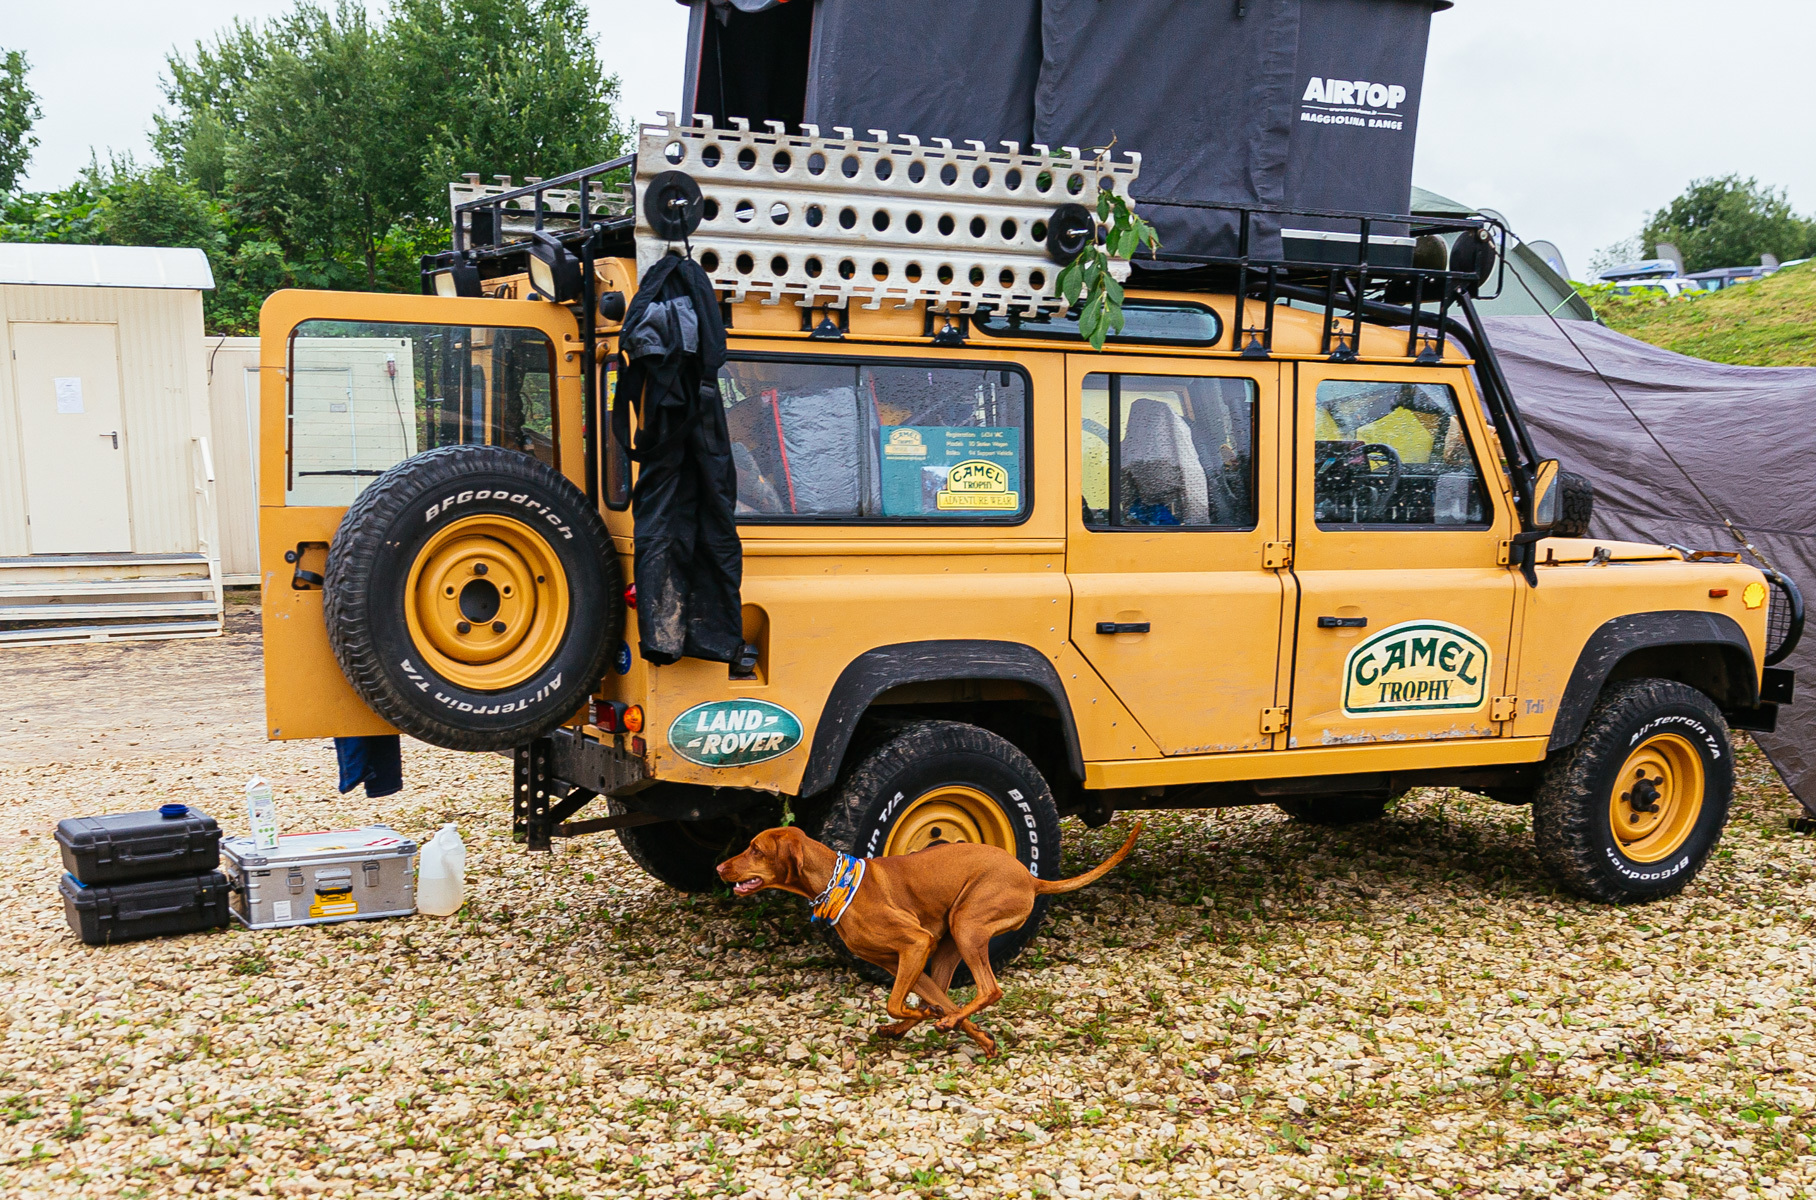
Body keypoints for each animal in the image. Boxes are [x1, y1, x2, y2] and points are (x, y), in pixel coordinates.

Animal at [719, 820, 1133, 1052]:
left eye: (755, 849)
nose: (720, 867)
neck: (839, 886)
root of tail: (1031, 878)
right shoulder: (902, 960)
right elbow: (935, 1001)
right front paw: (982, 1040)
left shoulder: (915, 944)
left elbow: (896, 1003)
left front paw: (927, 1016)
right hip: (950, 943)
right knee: (955, 996)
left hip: (966, 925)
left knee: (990, 989)